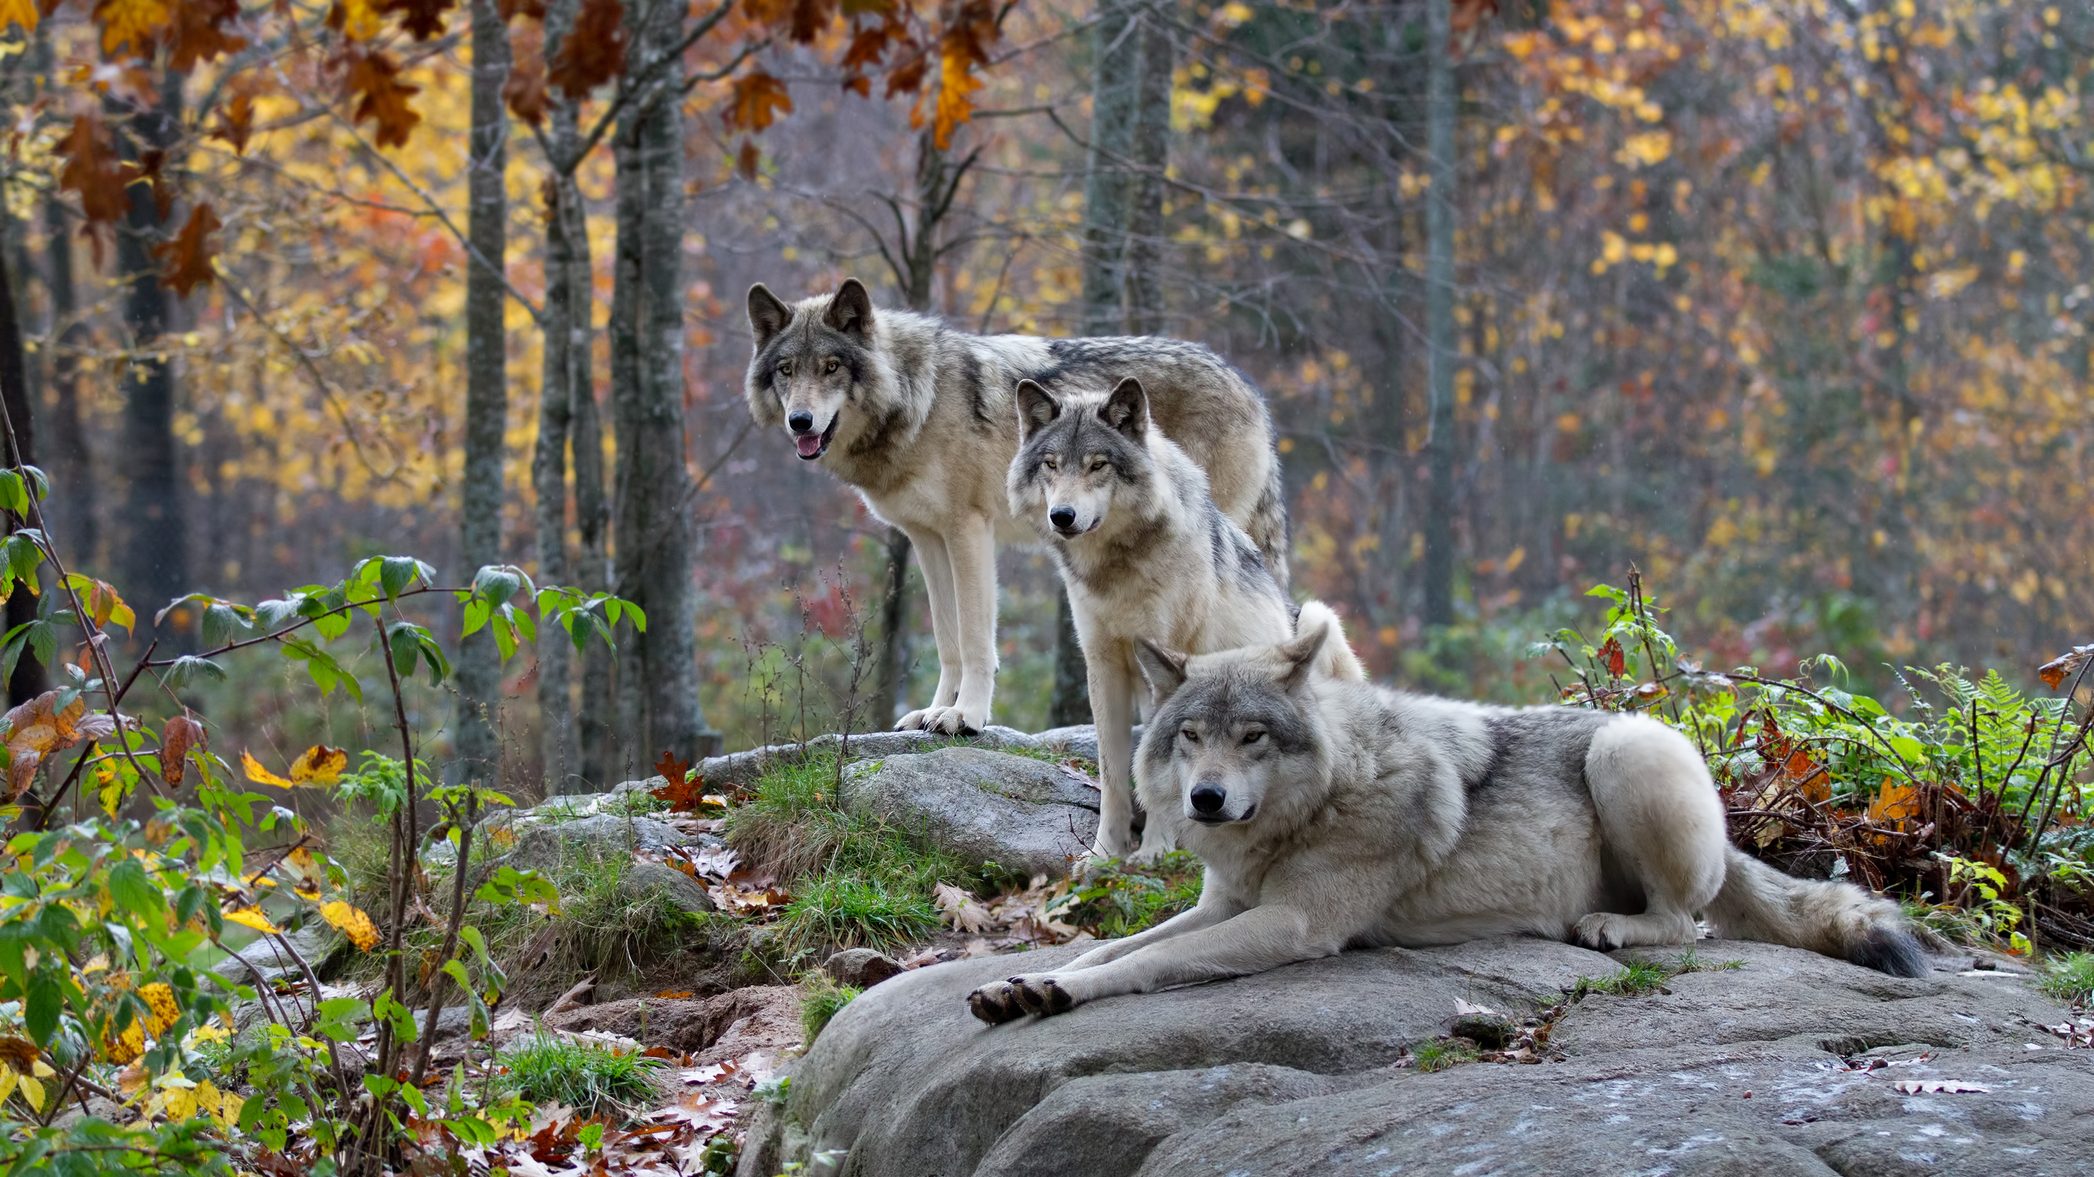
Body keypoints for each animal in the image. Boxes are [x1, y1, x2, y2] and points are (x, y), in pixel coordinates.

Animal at [745, 278, 1281, 728]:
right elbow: (948, 638)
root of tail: (1250, 387)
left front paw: (966, 716)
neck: (918, 399)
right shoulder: (927, 538)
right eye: (787, 371)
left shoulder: (968, 531)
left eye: (831, 367)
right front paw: (934, 711)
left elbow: (975, 639)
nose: (800, 421)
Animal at [963, 615, 1926, 1017]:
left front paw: (1059, 991)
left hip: (1626, 749)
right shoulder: (1224, 904)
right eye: (1192, 735)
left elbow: (1146, 963)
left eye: (1252, 737)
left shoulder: (1293, 923)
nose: (1206, 797)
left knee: (1688, 924)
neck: (1325, 797)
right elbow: (1113, 947)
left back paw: (1609, 926)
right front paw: (1026, 979)